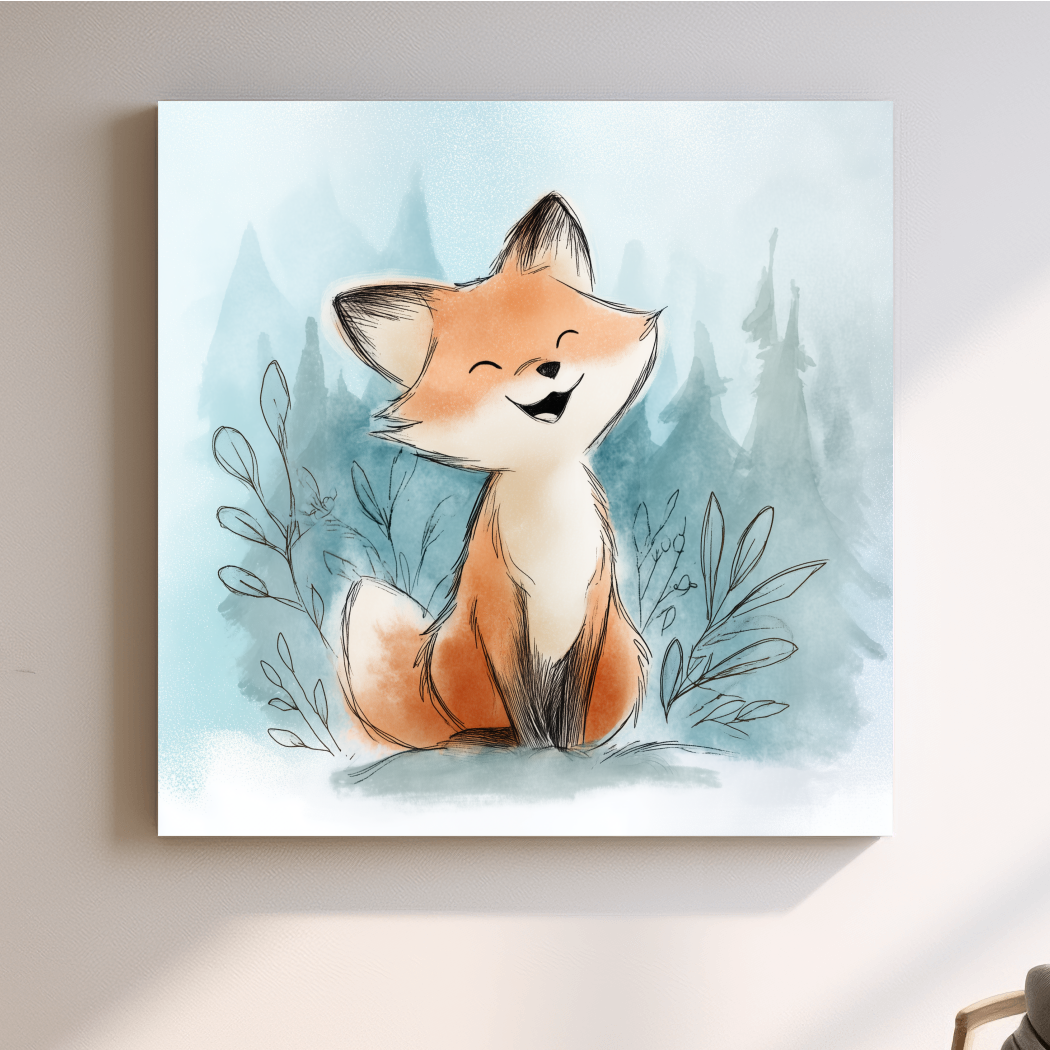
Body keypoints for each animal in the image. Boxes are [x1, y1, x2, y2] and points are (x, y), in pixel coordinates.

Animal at [327, 192, 660, 751]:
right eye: (487, 367)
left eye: (565, 337)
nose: (547, 368)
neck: (548, 526)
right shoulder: (500, 611)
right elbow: (526, 710)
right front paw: (539, 750)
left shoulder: (594, 601)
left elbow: (570, 709)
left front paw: (566, 749)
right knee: (478, 729)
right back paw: (487, 739)